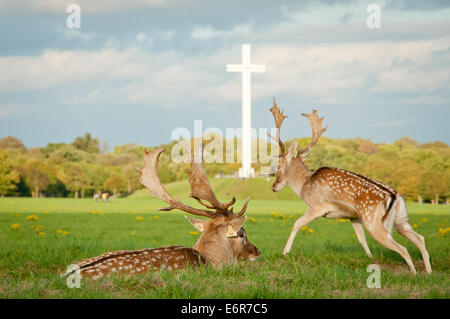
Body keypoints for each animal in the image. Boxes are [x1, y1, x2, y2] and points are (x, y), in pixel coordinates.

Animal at [268, 98, 430, 276]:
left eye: (278, 166)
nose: (274, 186)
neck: (304, 185)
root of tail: (396, 197)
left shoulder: (317, 206)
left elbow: (297, 223)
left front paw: (285, 252)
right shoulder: (353, 216)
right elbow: (361, 238)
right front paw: (370, 258)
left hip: (374, 221)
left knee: (403, 248)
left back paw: (414, 273)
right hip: (400, 220)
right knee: (420, 238)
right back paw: (428, 272)